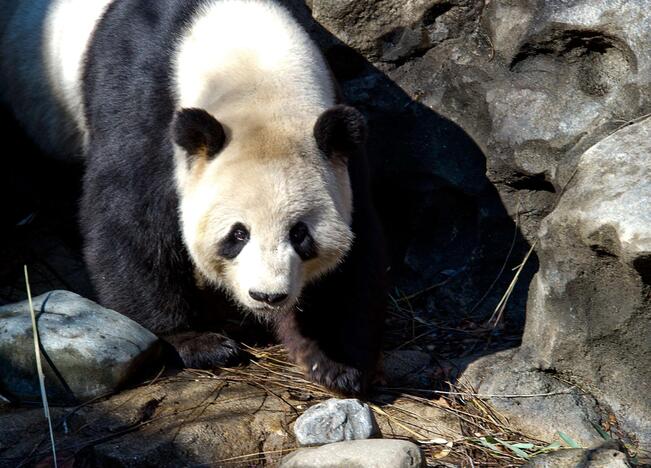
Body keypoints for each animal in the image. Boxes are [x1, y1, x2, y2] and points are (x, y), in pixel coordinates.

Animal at [1, 0, 388, 394]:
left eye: (300, 234)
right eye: (238, 234)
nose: (267, 296)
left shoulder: (338, 144)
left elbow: (357, 246)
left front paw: (336, 361)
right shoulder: (146, 102)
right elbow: (130, 218)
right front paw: (194, 341)